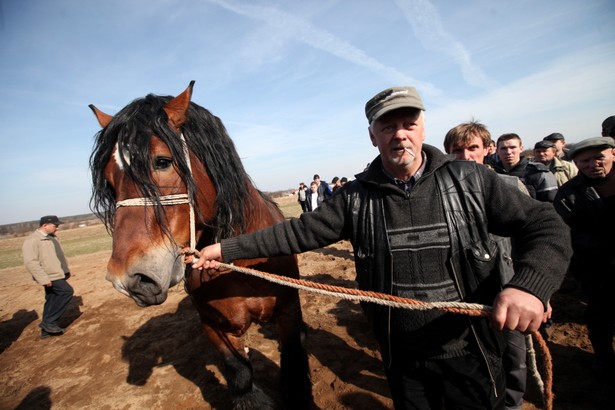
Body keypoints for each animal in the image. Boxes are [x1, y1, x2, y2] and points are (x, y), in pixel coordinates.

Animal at [87, 81, 312, 408]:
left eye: (162, 161)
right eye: (108, 179)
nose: (128, 279)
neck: (238, 268)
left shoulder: (288, 311)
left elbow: (294, 367)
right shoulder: (212, 326)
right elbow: (239, 375)